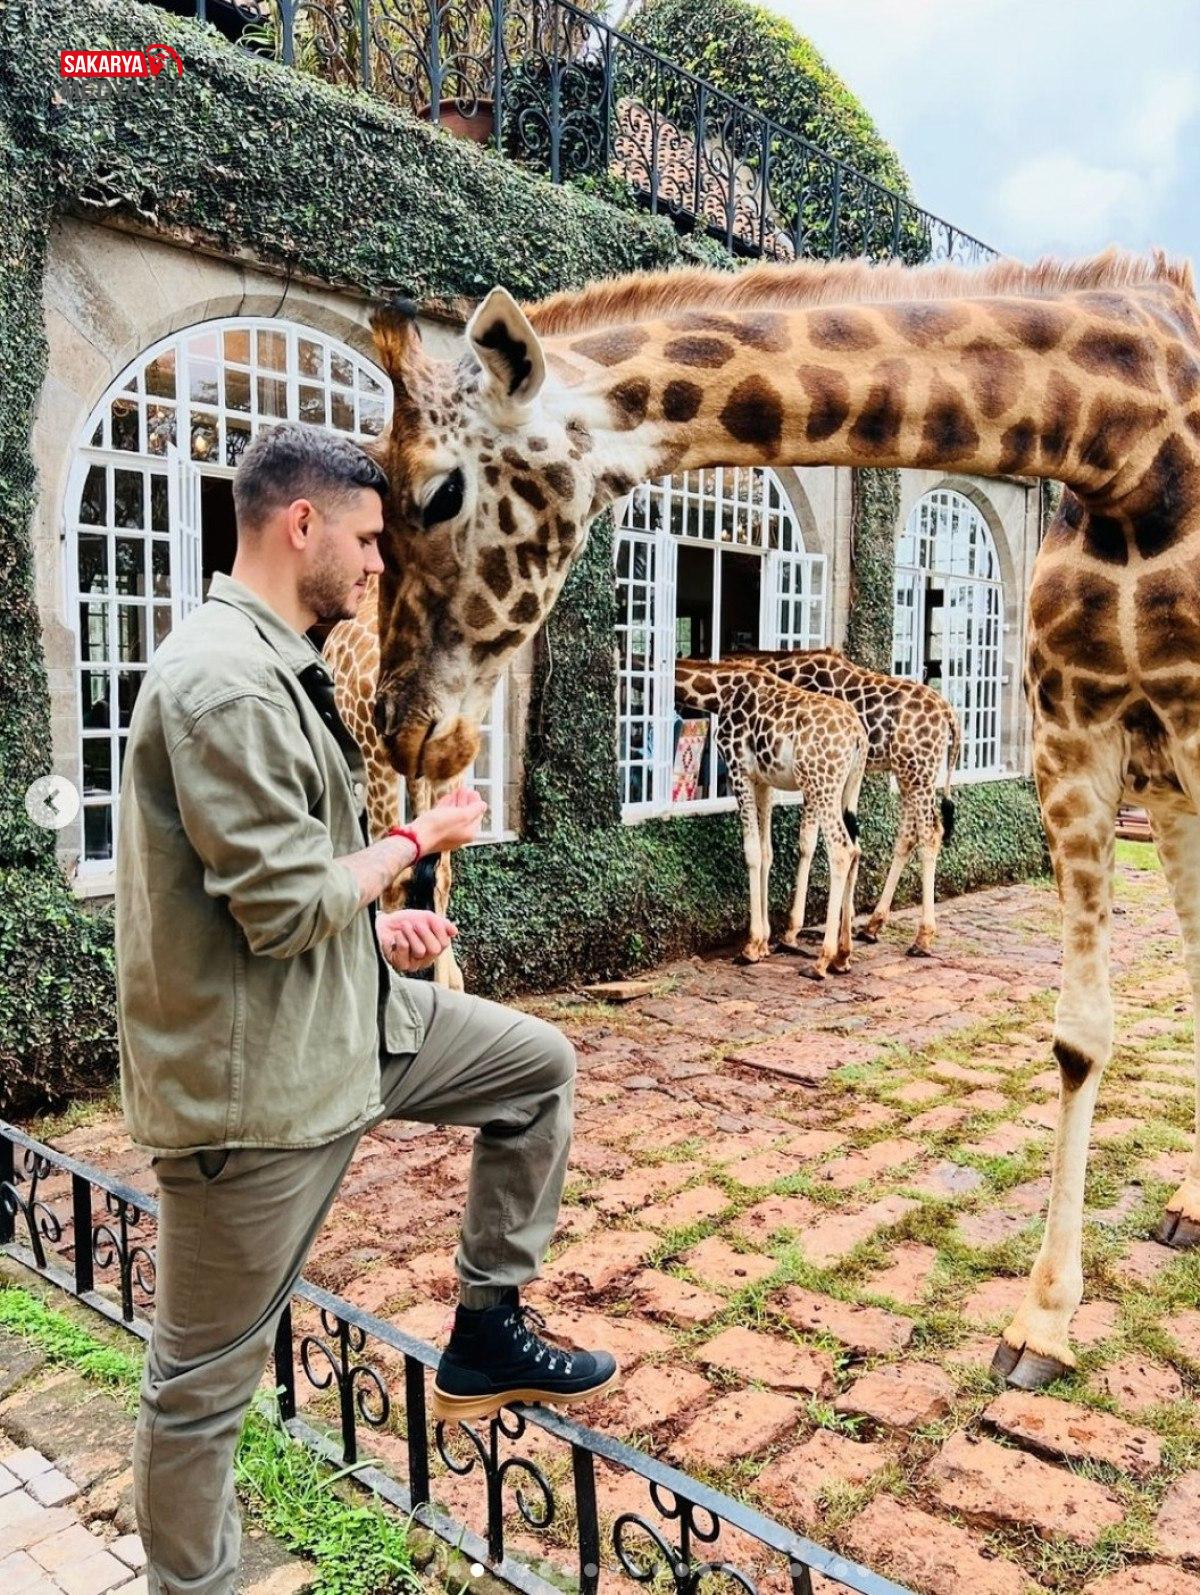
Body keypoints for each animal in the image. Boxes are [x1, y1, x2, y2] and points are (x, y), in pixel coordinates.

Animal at [676, 658, 867, 977]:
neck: (722, 691)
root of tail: (858, 737)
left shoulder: (738, 769)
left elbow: (752, 852)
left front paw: (751, 946)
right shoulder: (763, 780)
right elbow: (767, 853)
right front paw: (764, 942)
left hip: (821, 784)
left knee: (841, 848)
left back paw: (822, 960)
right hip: (849, 787)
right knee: (856, 848)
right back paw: (843, 955)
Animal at [728, 648, 962, 956]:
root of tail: (949, 714)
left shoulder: (815, 773)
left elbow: (808, 842)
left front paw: (792, 932)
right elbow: (848, 841)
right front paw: (844, 922)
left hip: (918, 774)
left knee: (929, 833)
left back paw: (922, 938)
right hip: (909, 775)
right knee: (908, 835)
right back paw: (873, 925)